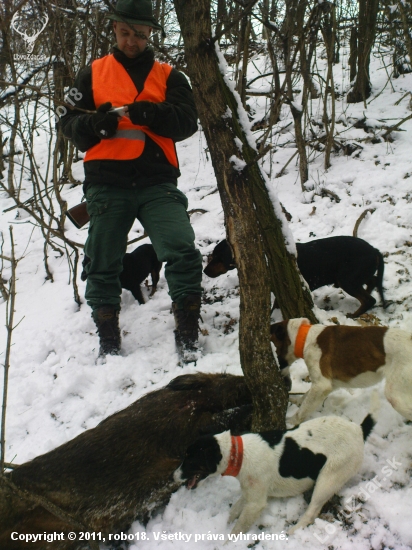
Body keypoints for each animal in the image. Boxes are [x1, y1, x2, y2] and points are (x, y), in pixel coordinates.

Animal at [172, 402, 378, 540]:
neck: (239, 454)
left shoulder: (256, 504)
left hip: (328, 479)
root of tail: (359, 429)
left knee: (312, 512)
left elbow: (237, 529)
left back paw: (294, 532)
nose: (173, 477)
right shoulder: (251, 493)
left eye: (190, 460)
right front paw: (224, 524)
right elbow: (233, 513)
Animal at [205, 237, 386, 320]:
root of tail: (375, 250)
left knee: (369, 299)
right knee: (372, 282)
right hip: (356, 275)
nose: (205, 271)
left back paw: (353, 315)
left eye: (217, 257)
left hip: (347, 279)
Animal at [270, 320, 412, 426]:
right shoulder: (330, 385)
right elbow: (306, 396)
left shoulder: (322, 385)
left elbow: (303, 409)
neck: (304, 337)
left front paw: (290, 423)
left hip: (395, 396)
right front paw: (296, 400)